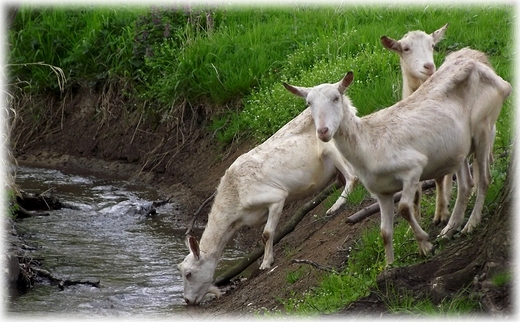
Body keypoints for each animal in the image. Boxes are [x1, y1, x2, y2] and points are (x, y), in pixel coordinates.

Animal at [177, 107, 356, 306]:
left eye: (189, 273)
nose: (187, 300)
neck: (235, 196)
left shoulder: (276, 197)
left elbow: (267, 233)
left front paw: (265, 263)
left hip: (332, 147)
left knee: (352, 176)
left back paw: (336, 206)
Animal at [282, 49, 510, 266]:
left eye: (336, 98)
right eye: (309, 103)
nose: (323, 131)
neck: (367, 145)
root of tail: (492, 73)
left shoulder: (413, 169)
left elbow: (405, 208)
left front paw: (425, 244)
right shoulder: (381, 192)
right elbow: (384, 232)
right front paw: (389, 265)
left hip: (483, 125)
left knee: (484, 178)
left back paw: (470, 225)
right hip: (459, 148)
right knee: (466, 184)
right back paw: (449, 230)